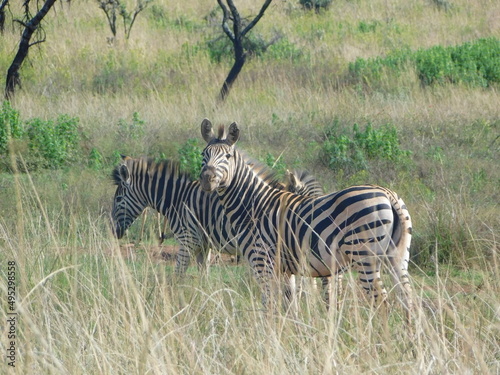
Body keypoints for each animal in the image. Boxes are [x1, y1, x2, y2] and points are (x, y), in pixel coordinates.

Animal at [110, 154, 324, 274]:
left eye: (118, 199)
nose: (114, 231)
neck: (178, 199)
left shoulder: (188, 240)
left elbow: (177, 276)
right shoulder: (204, 245)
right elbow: (202, 276)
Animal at [199, 119, 414, 324]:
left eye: (228, 156)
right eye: (203, 154)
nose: (207, 179)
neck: (253, 206)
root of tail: (388, 194)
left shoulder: (262, 262)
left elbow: (268, 305)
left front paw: (269, 333)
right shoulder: (285, 269)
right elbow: (290, 305)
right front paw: (291, 331)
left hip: (364, 255)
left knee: (382, 302)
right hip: (397, 256)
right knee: (408, 298)